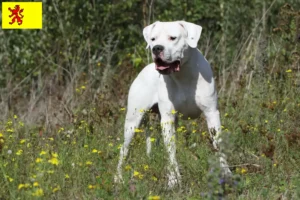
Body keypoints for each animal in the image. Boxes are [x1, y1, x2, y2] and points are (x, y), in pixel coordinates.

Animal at [116, 20, 231, 188]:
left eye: (173, 38)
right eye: (153, 39)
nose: (157, 48)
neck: (183, 74)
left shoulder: (212, 114)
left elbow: (219, 145)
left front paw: (226, 174)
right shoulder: (167, 120)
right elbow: (171, 152)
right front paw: (173, 181)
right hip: (132, 122)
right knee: (124, 150)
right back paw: (118, 178)